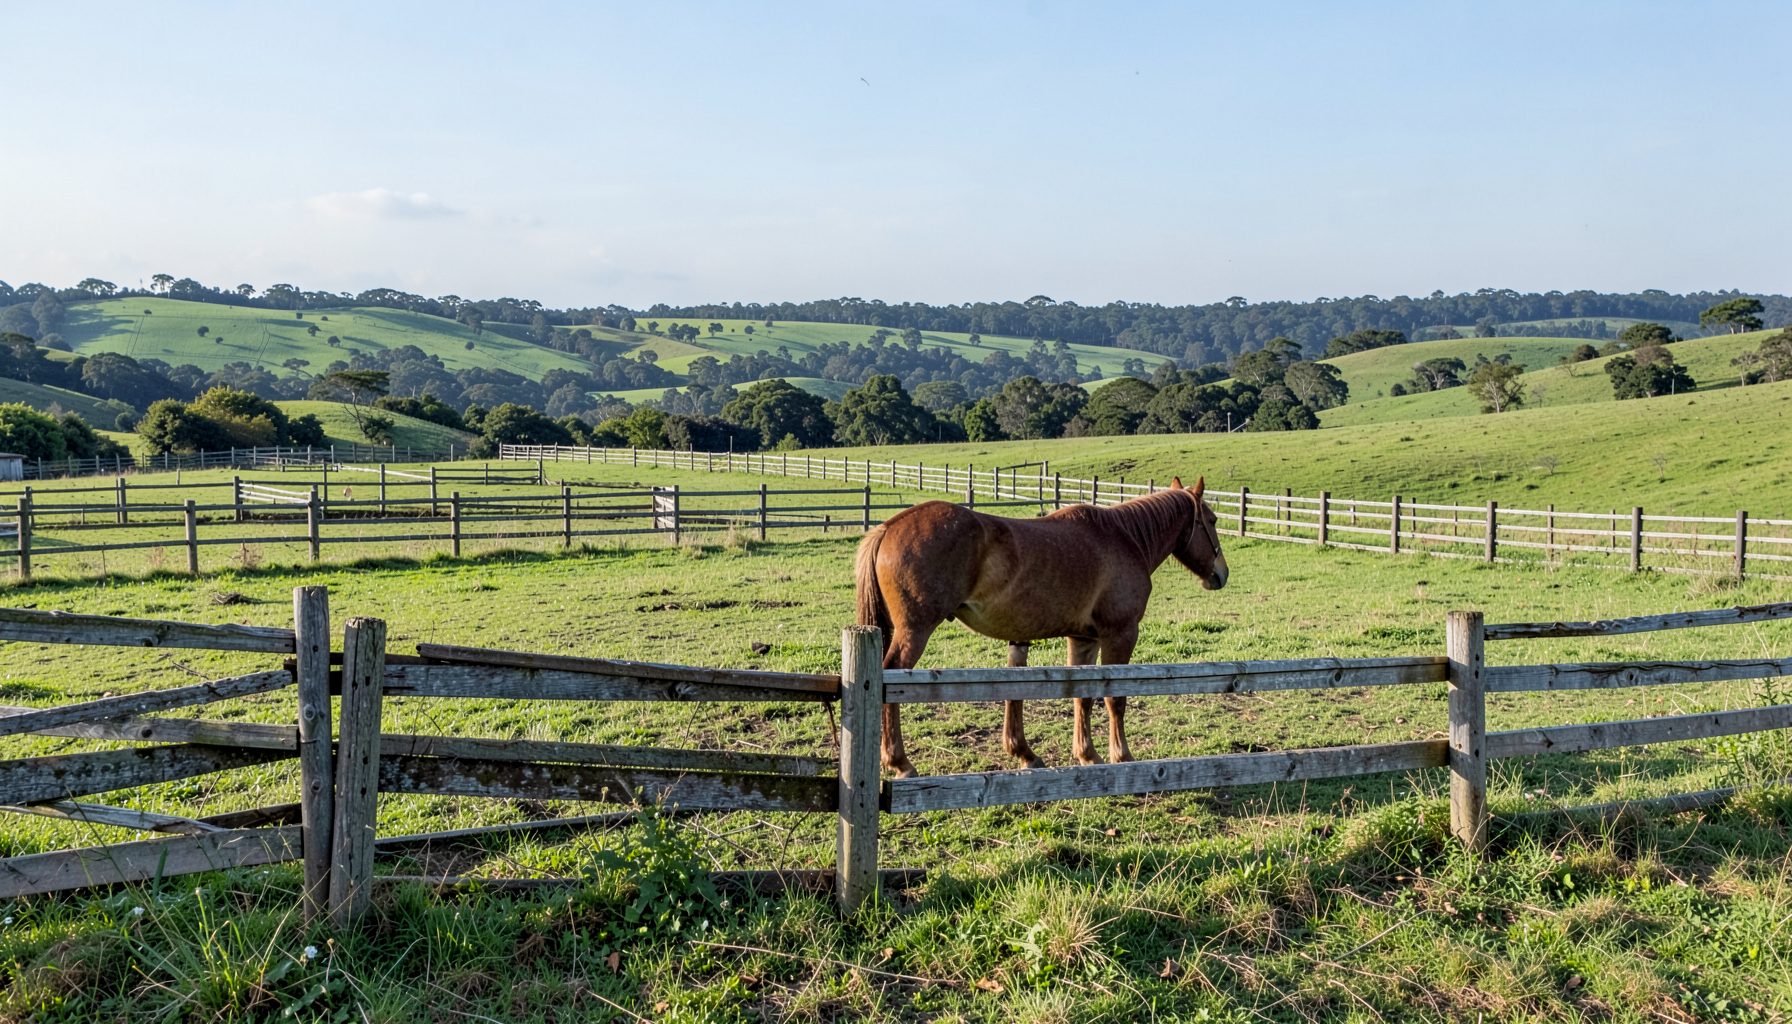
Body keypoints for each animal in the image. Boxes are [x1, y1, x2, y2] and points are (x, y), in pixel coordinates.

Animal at [854, 476, 1228, 777]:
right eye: (1211, 520)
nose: (1220, 574)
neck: (1124, 538)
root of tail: (889, 527)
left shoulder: (1083, 639)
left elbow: (1083, 697)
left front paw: (1087, 754)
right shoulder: (1120, 635)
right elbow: (1115, 698)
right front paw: (1121, 755)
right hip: (913, 633)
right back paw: (900, 762)